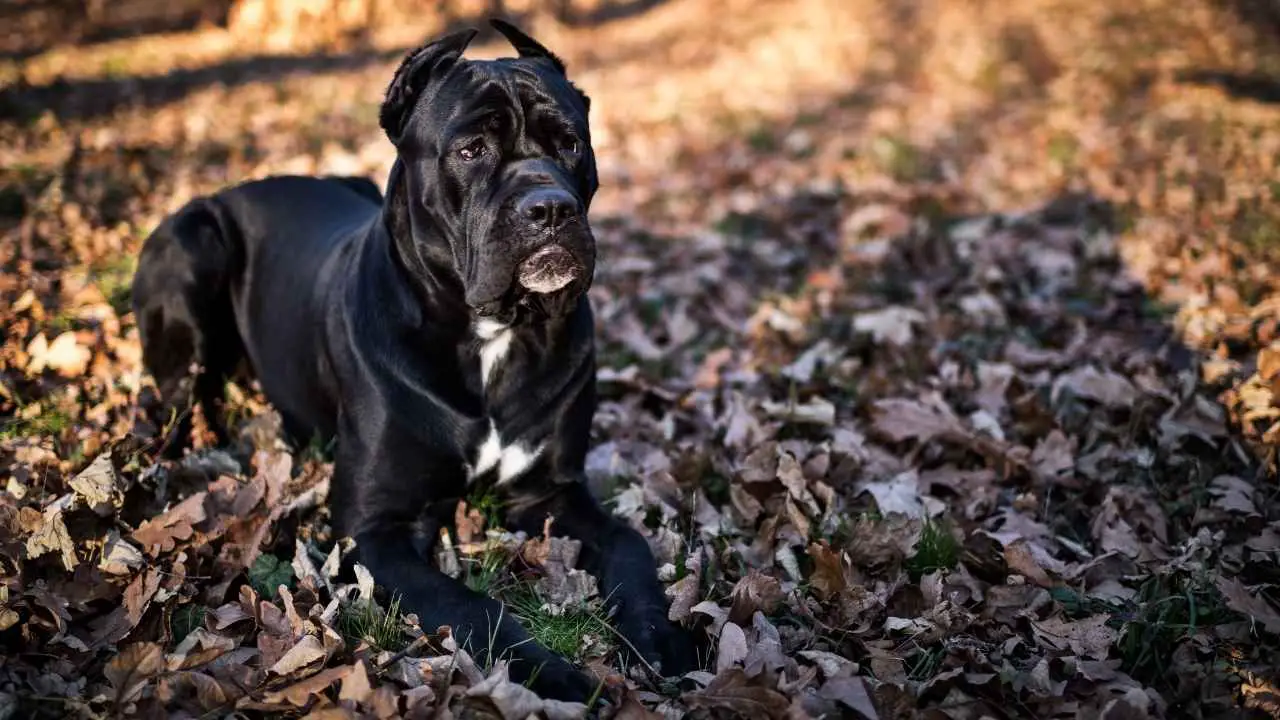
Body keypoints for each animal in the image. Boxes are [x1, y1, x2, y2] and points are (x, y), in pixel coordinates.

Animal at [132, 20, 691, 702]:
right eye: (472, 150)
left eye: (570, 144)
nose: (551, 207)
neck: (491, 331)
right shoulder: (376, 526)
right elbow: (470, 605)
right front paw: (552, 673)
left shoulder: (552, 493)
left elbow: (630, 544)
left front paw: (660, 638)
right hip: (195, 245)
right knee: (175, 397)